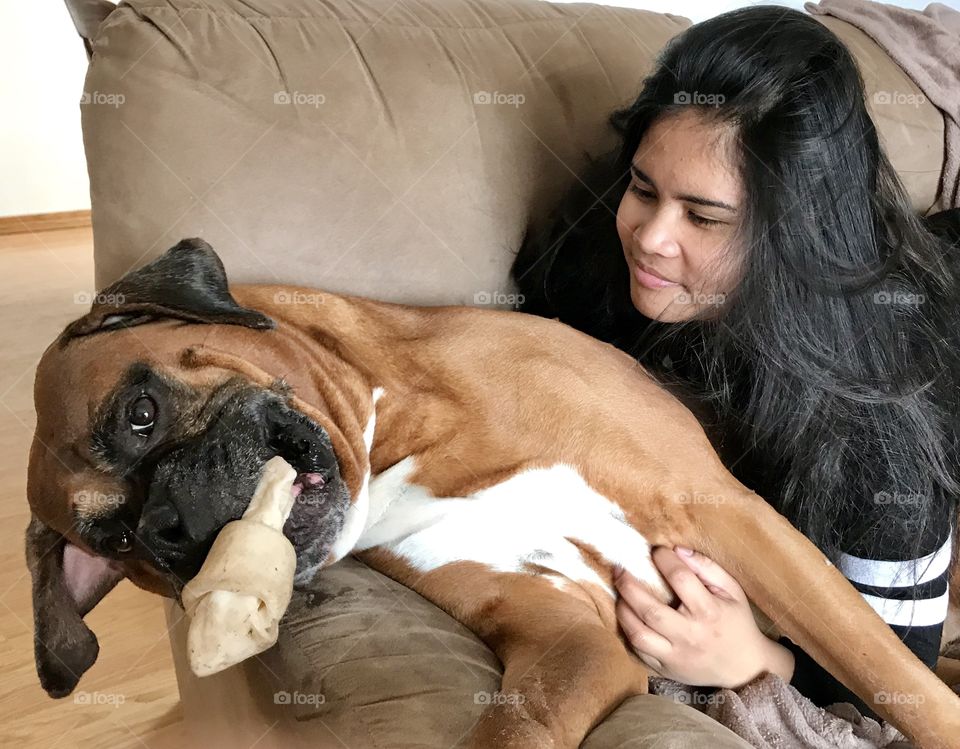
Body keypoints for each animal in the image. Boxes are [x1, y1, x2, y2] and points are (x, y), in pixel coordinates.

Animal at [22, 238, 960, 744]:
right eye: (118, 545)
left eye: (140, 413)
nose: (171, 528)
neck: (398, 425)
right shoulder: (566, 632)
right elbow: (511, 725)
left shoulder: (728, 516)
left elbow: (894, 677)